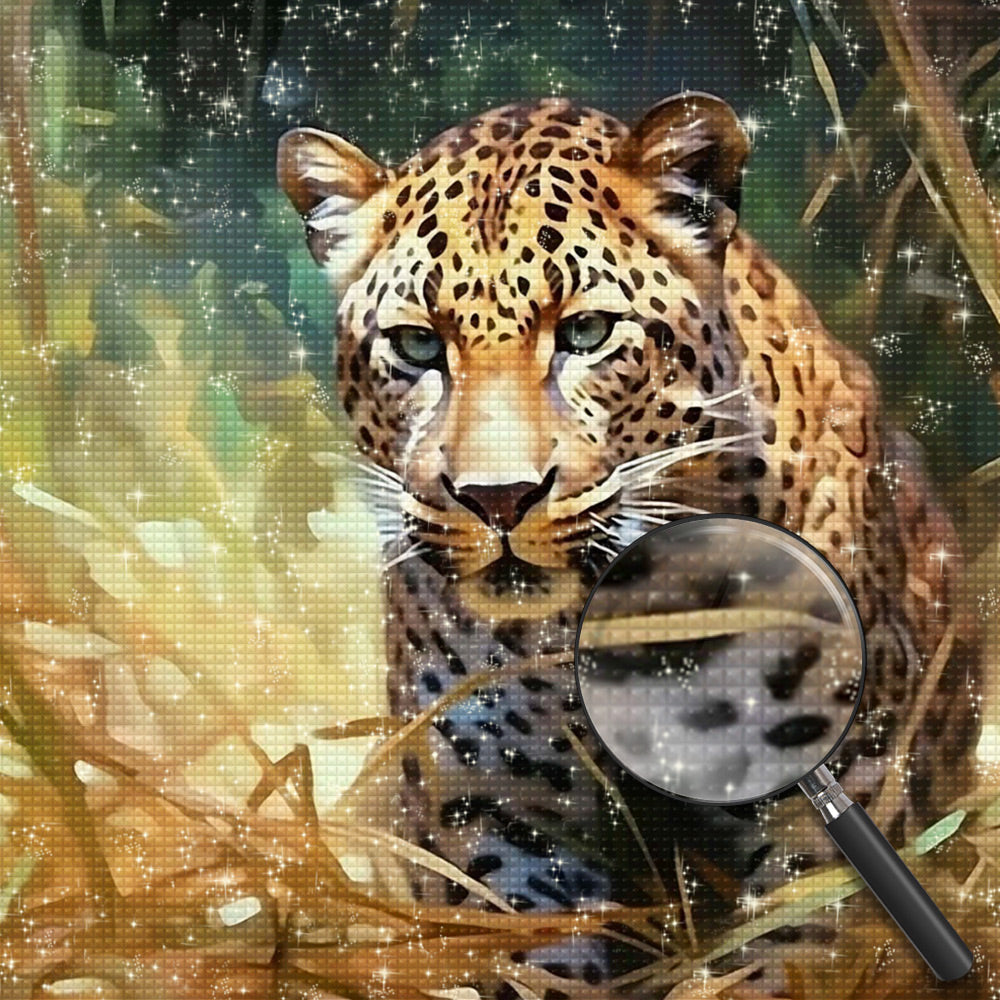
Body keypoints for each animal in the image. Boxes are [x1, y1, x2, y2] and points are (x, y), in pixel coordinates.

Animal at [278, 94, 979, 996]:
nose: (497, 498)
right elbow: (528, 953)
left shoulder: (843, 788)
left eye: (586, 333)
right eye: (418, 345)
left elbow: (791, 946)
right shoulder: (494, 816)